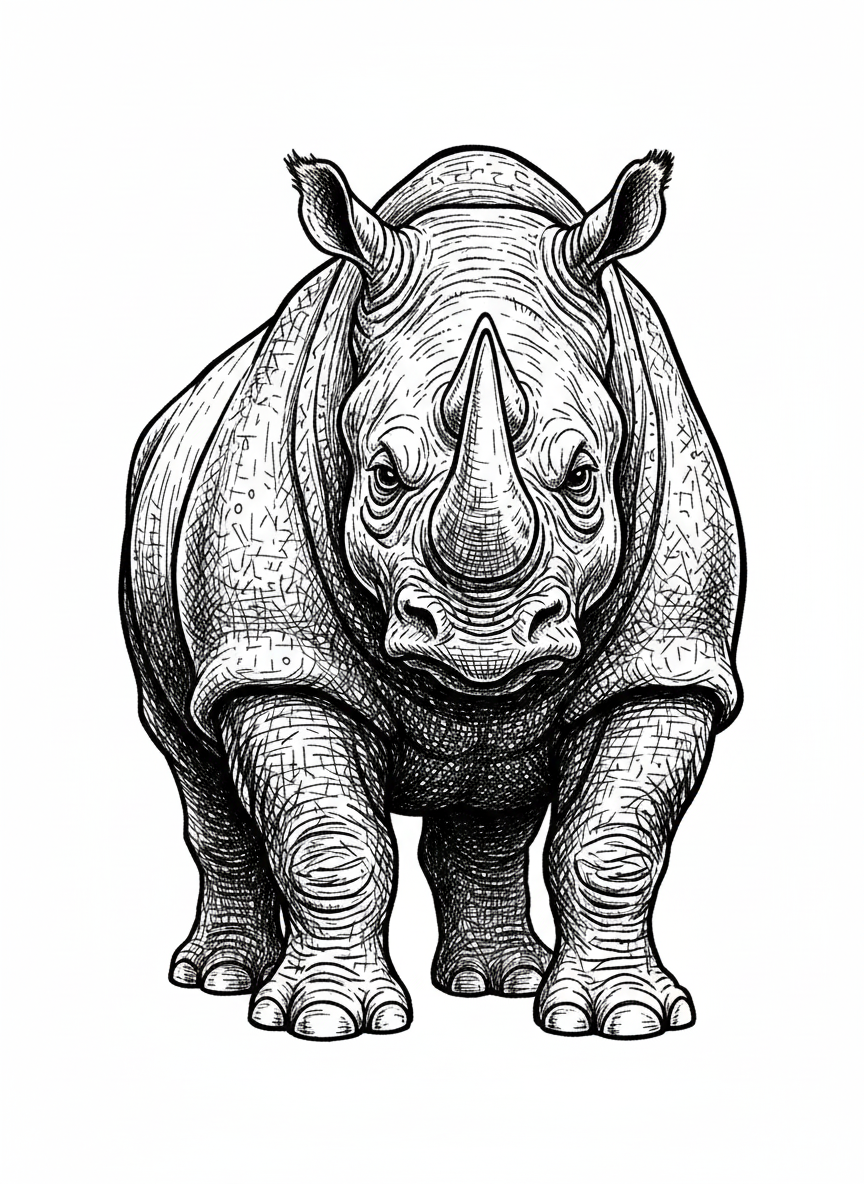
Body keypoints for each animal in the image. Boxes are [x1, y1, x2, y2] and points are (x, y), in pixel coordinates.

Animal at [122, 146, 743, 1041]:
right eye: (383, 475)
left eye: (582, 475)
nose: (481, 644)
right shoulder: (275, 658)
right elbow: (329, 838)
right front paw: (325, 1022)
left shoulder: (667, 658)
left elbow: (613, 837)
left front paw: (626, 1020)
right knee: (190, 753)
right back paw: (220, 980)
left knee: (492, 789)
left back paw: (497, 984)